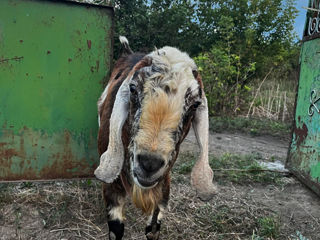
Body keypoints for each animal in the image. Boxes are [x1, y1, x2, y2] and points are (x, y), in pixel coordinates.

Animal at [94, 36, 216, 240]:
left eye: (195, 105)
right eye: (132, 89)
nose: (149, 163)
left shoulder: (163, 186)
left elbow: (153, 228)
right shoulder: (112, 187)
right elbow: (116, 229)